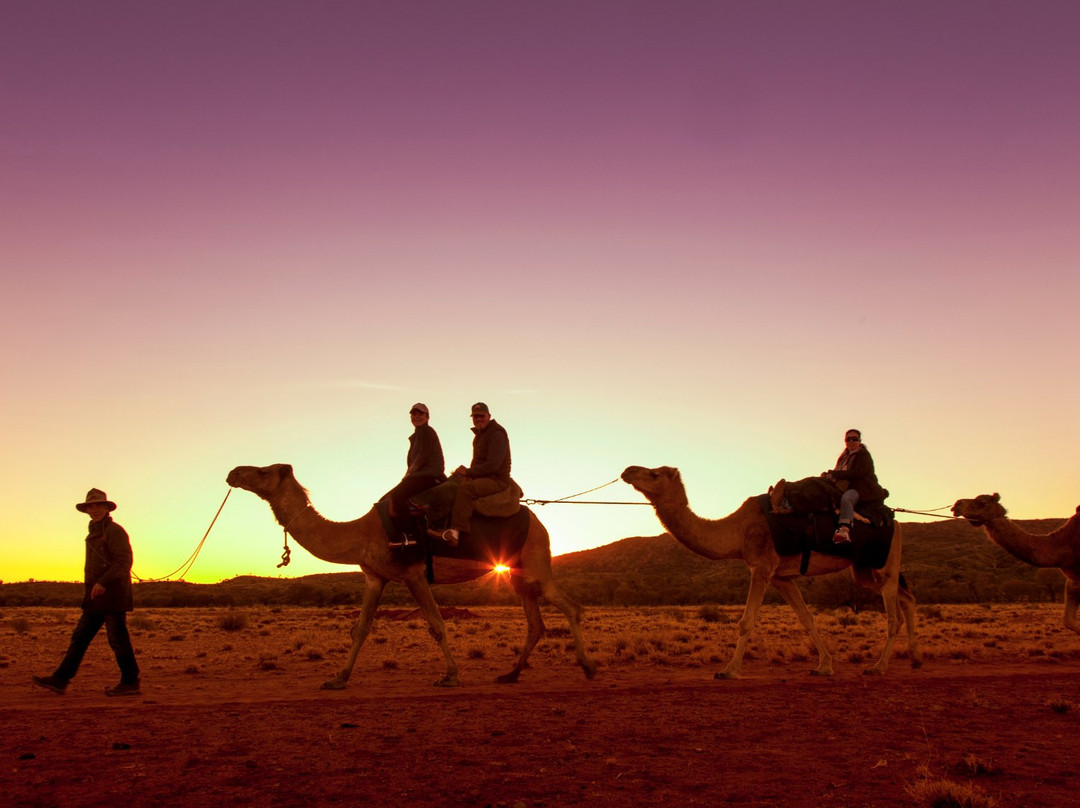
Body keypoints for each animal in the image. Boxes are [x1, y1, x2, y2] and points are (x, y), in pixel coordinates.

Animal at [227, 463, 597, 688]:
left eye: (262, 471)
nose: (233, 472)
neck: (360, 533)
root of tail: (538, 521)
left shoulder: (414, 573)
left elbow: (436, 624)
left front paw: (451, 676)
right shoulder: (375, 577)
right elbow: (360, 628)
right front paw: (338, 679)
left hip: (536, 564)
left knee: (571, 607)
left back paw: (588, 667)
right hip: (518, 575)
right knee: (536, 623)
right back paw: (511, 674)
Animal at [621, 465, 921, 677]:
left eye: (654, 473)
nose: (627, 470)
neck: (738, 531)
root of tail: (897, 523)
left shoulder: (762, 567)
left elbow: (746, 621)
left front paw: (728, 671)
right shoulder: (781, 577)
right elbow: (807, 618)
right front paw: (824, 666)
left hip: (883, 565)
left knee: (894, 615)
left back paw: (878, 667)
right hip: (863, 569)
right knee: (907, 598)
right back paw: (915, 659)